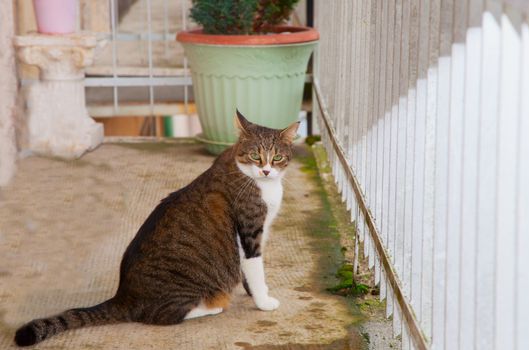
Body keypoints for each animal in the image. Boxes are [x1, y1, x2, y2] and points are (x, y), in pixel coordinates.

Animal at [14, 110, 300, 346]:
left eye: (276, 157)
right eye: (255, 155)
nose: (265, 171)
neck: (257, 181)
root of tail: (123, 296)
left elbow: (247, 273)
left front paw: (255, 294)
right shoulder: (250, 232)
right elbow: (256, 269)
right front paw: (263, 302)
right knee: (162, 316)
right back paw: (214, 304)